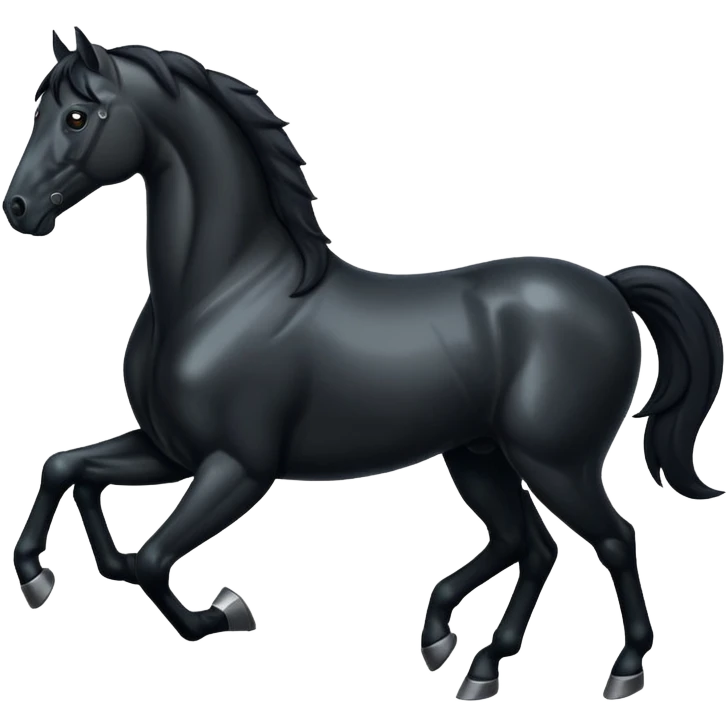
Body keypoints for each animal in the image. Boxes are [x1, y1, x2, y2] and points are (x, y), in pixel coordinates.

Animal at [4, 27, 724, 703]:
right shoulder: (170, 450)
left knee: (613, 539)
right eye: (41, 109)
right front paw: (40, 577)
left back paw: (620, 671)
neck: (224, 292)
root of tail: (609, 288)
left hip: (557, 461)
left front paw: (224, 613)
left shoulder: (238, 467)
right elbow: (68, 469)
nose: (18, 210)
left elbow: (151, 558)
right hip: (480, 455)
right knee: (529, 545)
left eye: (77, 116)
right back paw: (465, 657)